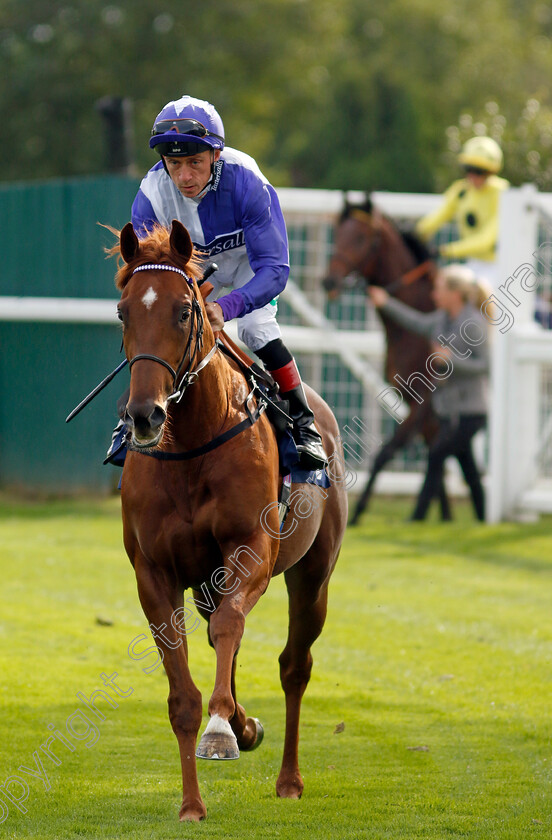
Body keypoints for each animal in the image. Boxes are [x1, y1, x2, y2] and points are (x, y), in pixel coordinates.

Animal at [110, 218, 348, 820]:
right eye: (124, 312)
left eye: (184, 310)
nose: (144, 416)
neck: (192, 444)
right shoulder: (155, 574)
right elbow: (183, 695)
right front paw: (192, 802)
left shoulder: (252, 550)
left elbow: (229, 628)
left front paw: (221, 730)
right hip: (207, 580)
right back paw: (245, 725)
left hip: (312, 574)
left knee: (293, 665)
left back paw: (288, 777)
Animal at [324, 198, 448, 524]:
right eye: (337, 232)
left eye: (361, 238)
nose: (328, 280)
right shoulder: (413, 401)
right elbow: (435, 450)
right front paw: (440, 513)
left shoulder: (423, 401)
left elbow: (386, 452)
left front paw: (358, 511)